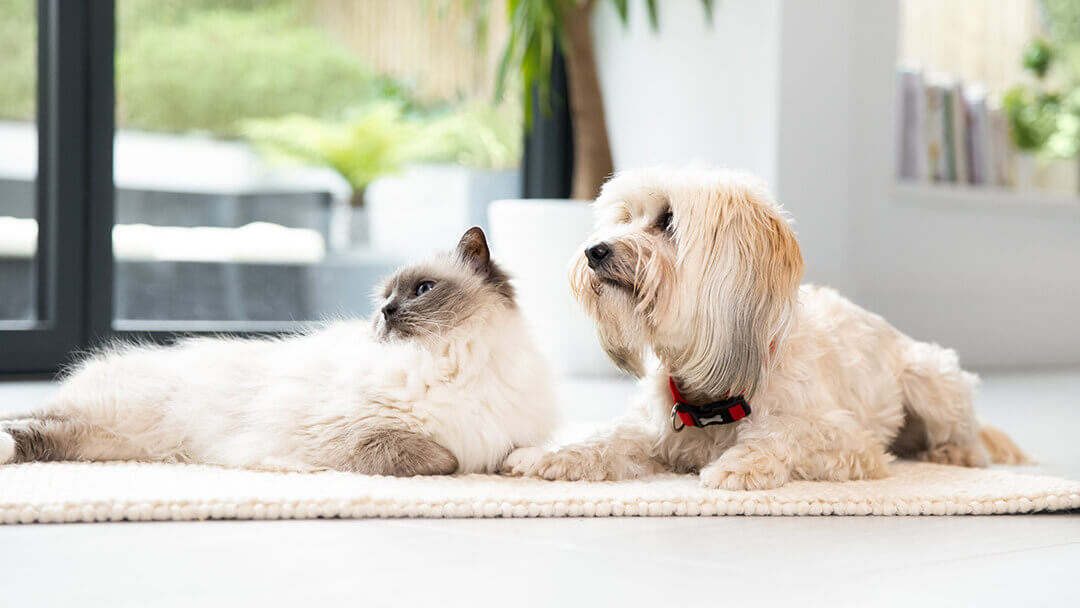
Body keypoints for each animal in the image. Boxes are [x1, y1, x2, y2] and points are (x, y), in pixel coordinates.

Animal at [0, 228, 557, 475]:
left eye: (421, 290)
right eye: (383, 299)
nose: (385, 314)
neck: (452, 361)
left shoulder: (509, 436)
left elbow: (516, 454)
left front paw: (524, 467)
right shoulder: (358, 433)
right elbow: (443, 459)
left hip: (107, 441)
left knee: (40, 433)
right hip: (116, 417)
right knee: (29, 419)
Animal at [501, 166, 1023, 490]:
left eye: (667, 221)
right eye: (624, 218)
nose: (595, 251)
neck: (713, 395)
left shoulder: (850, 443)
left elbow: (788, 435)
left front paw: (742, 463)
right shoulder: (653, 429)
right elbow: (605, 440)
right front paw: (546, 456)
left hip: (931, 376)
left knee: (970, 439)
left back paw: (956, 454)